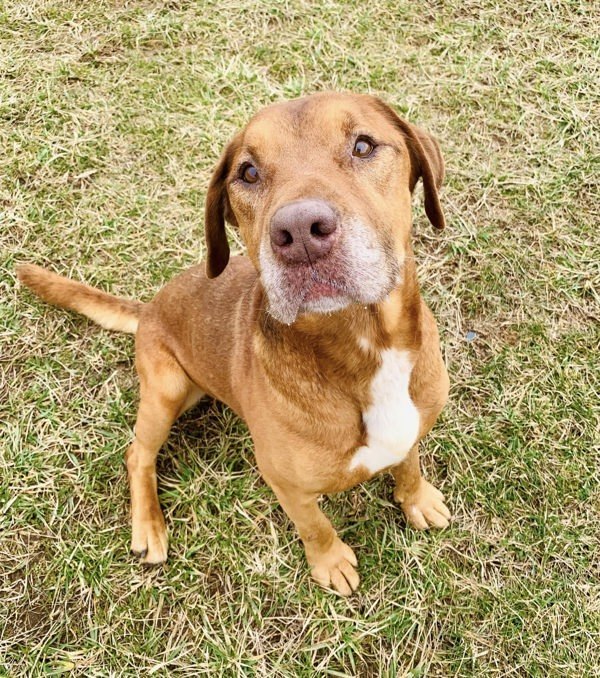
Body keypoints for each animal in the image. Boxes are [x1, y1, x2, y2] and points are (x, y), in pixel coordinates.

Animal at [17, 91, 450, 596]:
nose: (299, 233)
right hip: (168, 390)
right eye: (248, 173)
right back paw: (148, 524)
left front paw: (417, 499)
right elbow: (315, 526)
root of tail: (150, 307)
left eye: (363, 146)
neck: (365, 344)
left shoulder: (411, 427)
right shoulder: (287, 485)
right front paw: (329, 562)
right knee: (137, 453)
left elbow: (409, 463)